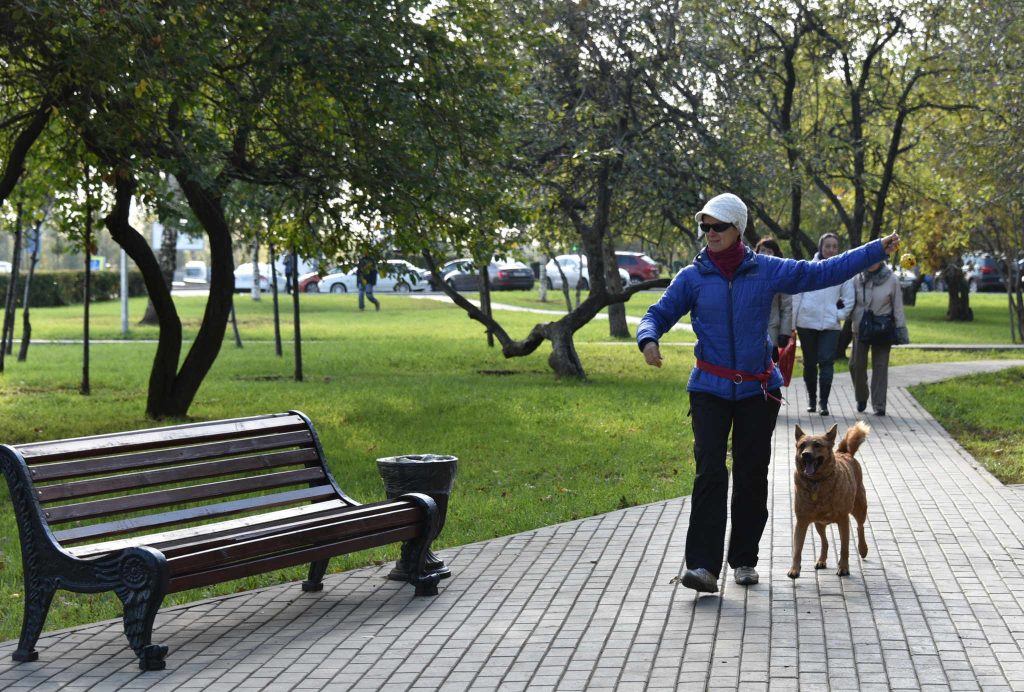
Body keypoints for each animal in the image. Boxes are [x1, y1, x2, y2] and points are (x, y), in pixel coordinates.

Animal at [786, 421, 868, 577]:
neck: (816, 482)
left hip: (860, 508)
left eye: (817, 445)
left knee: (860, 527)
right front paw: (794, 569)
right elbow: (797, 549)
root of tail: (844, 452)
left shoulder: (843, 520)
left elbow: (844, 548)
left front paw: (843, 568)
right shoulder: (801, 521)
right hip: (819, 523)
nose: (805, 454)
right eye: (802, 445)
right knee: (825, 542)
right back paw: (821, 560)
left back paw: (863, 549)